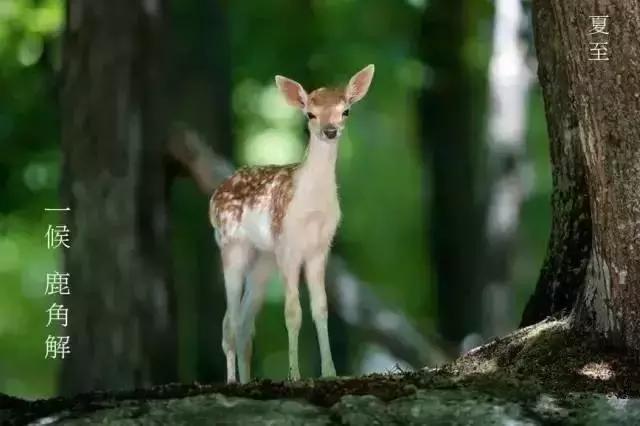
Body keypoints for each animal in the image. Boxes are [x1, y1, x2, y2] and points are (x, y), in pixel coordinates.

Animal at [212, 65, 376, 384]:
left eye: (346, 110)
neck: (310, 209)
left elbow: (321, 309)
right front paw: (294, 375)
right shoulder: (287, 245)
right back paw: (232, 381)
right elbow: (292, 312)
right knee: (231, 320)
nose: (330, 130)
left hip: (263, 259)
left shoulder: (320, 248)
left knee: (244, 323)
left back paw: (246, 380)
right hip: (231, 246)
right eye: (310, 113)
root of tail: (215, 195)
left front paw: (330, 373)